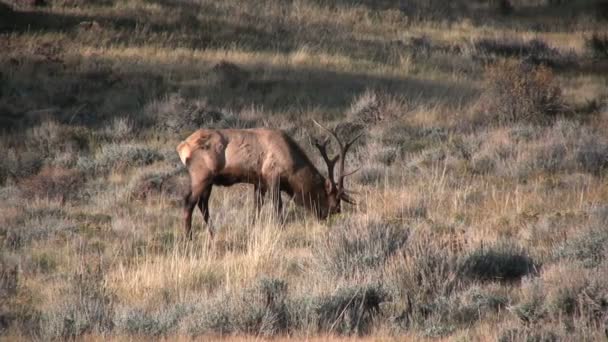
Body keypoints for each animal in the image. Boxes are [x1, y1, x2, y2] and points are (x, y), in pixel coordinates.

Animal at [176, 121, 358, 239]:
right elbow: (278, 206)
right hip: (201, 175)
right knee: (189, 201)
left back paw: (213, 233)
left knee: (202, 204)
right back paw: (188, 237)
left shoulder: (259, 182)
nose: (328, 218)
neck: (293, 169)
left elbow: (257, 207)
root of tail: (181, 147)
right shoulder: (272, 176)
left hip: (208, 181)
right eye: (333, 202)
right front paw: (281, 228)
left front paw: (251, 228)